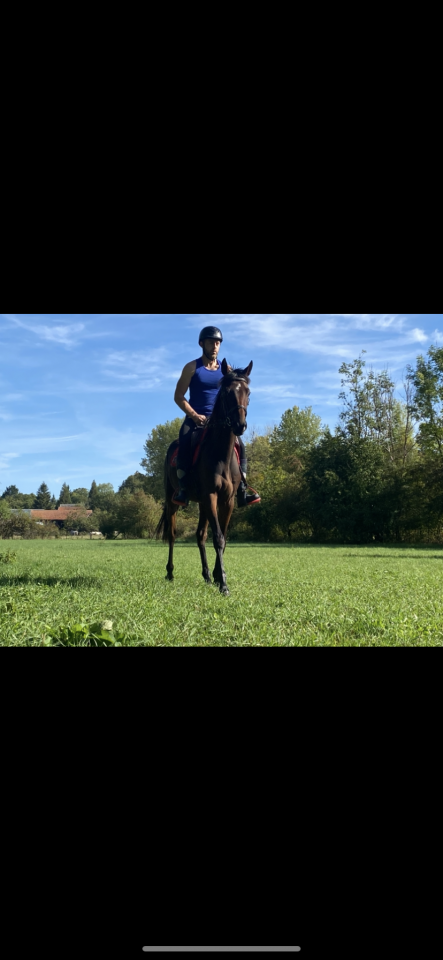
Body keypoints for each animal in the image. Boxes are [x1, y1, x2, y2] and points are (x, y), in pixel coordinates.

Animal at [155, 359, 253, 596]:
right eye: (226, 392)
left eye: (248, 392)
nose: (240, 425)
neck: (220, 453)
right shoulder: (211, 496)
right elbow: (218, 538)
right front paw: (223, 583)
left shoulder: (227, 500)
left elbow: (222, 538)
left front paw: (218, 576)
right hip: (173, 500)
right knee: (172, 534)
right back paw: (170, 573)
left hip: (201, 504)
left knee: (200, 535)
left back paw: (207, 576)